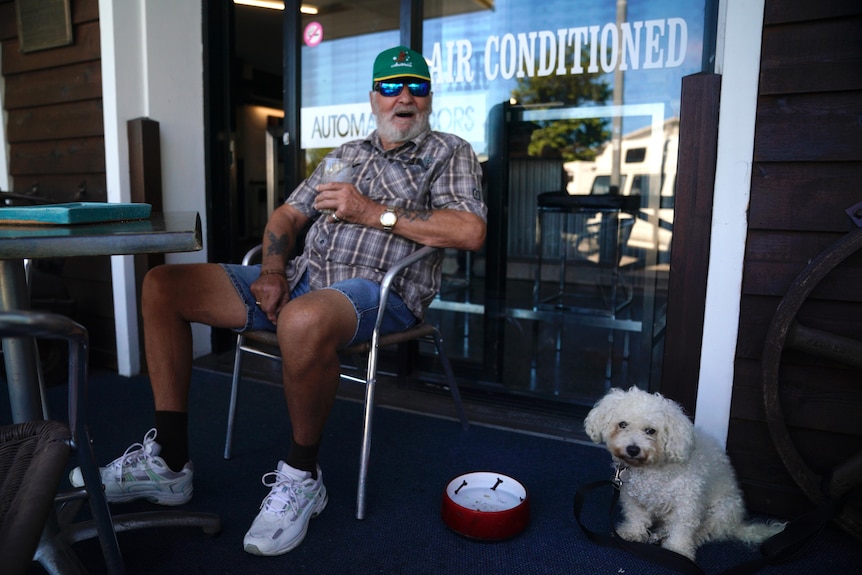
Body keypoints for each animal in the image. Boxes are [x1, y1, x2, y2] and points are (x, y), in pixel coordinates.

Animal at [584, 384, 788, 560]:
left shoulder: (687, 503)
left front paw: (677, 550)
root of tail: (736, 524)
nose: (633, 449)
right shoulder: (633, 497)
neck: (651, 470)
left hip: (722, 510)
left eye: (651, 431)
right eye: (623, 424)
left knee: (705, 531)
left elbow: (682, 528)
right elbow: (636, 516)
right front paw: (633, 533)